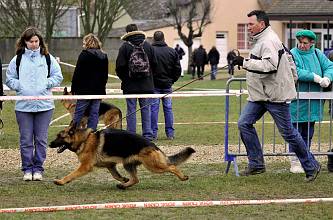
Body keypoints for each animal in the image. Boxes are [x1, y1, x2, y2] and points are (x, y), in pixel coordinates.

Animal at [49, 124, 195, 189]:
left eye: (60, 137)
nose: (50, 144)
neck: (84, 139)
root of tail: (153, 145)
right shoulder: (110, 165)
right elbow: (115, 175)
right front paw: (123, 179)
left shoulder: (85, 167)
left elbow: (71, 174)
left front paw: (61, 181)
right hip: (128, 164)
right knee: (136, 179)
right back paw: (124, 185)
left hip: (153, 166)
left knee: (172, 167)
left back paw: (182, 177)